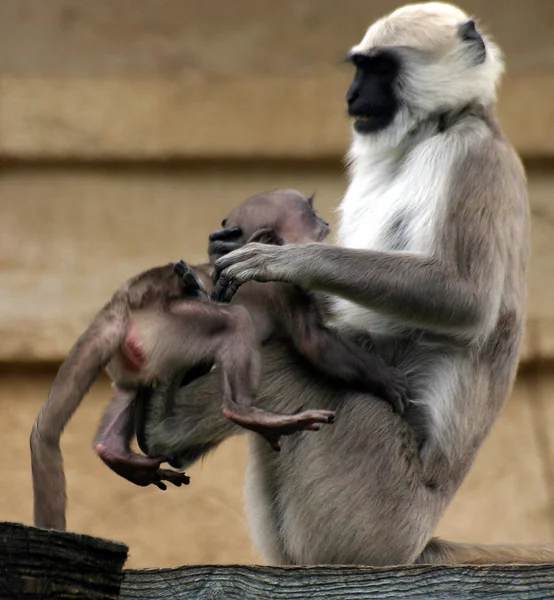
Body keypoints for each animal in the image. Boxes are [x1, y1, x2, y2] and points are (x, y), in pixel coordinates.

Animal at [138, 2, 552, 564]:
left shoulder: (472, 157)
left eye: (379, 69)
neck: (436, 129)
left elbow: (464, 299)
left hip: (372, 505)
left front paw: (282, 260)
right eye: (359, 68)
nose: (353, 96)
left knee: (295, 365)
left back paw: (161, 426)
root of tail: (417, 541)